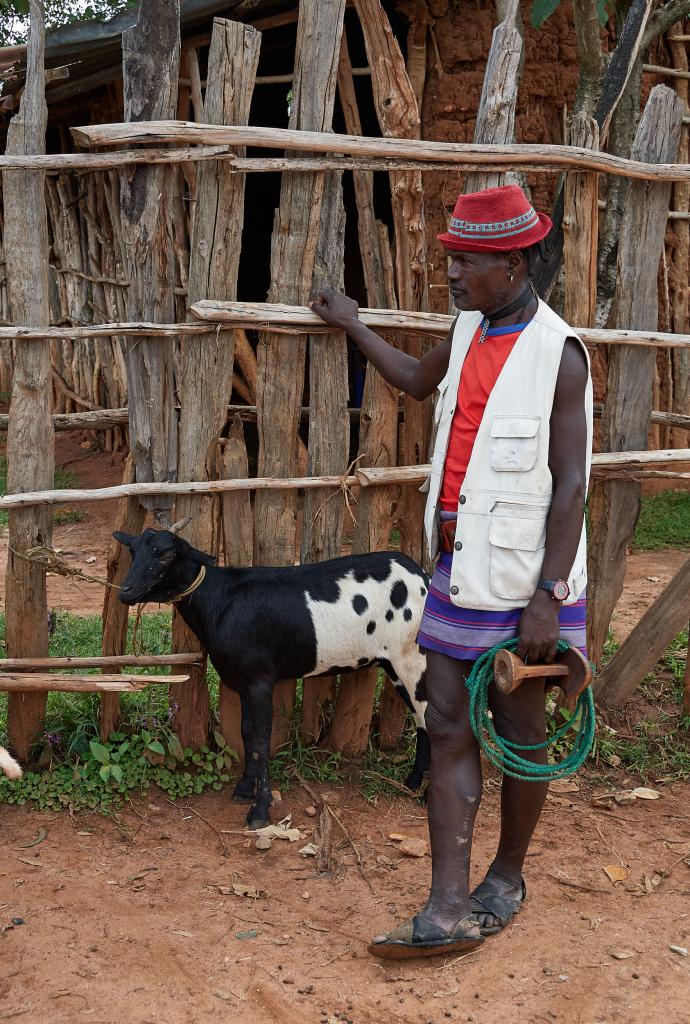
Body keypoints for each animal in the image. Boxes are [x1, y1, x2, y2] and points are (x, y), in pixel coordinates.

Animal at [113, 524, 427, 827]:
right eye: (132, 551)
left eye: (167, 555)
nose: (126, 591)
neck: (219, 600)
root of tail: (421, 575)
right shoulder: (244, 683)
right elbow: (246, 733)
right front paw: (243, 790)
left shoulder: (260, 680)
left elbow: (262, 740)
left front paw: (260, 810)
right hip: (394, 664)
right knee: (422, 719)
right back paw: (411, 784)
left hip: (413, 656)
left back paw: (422, 795)